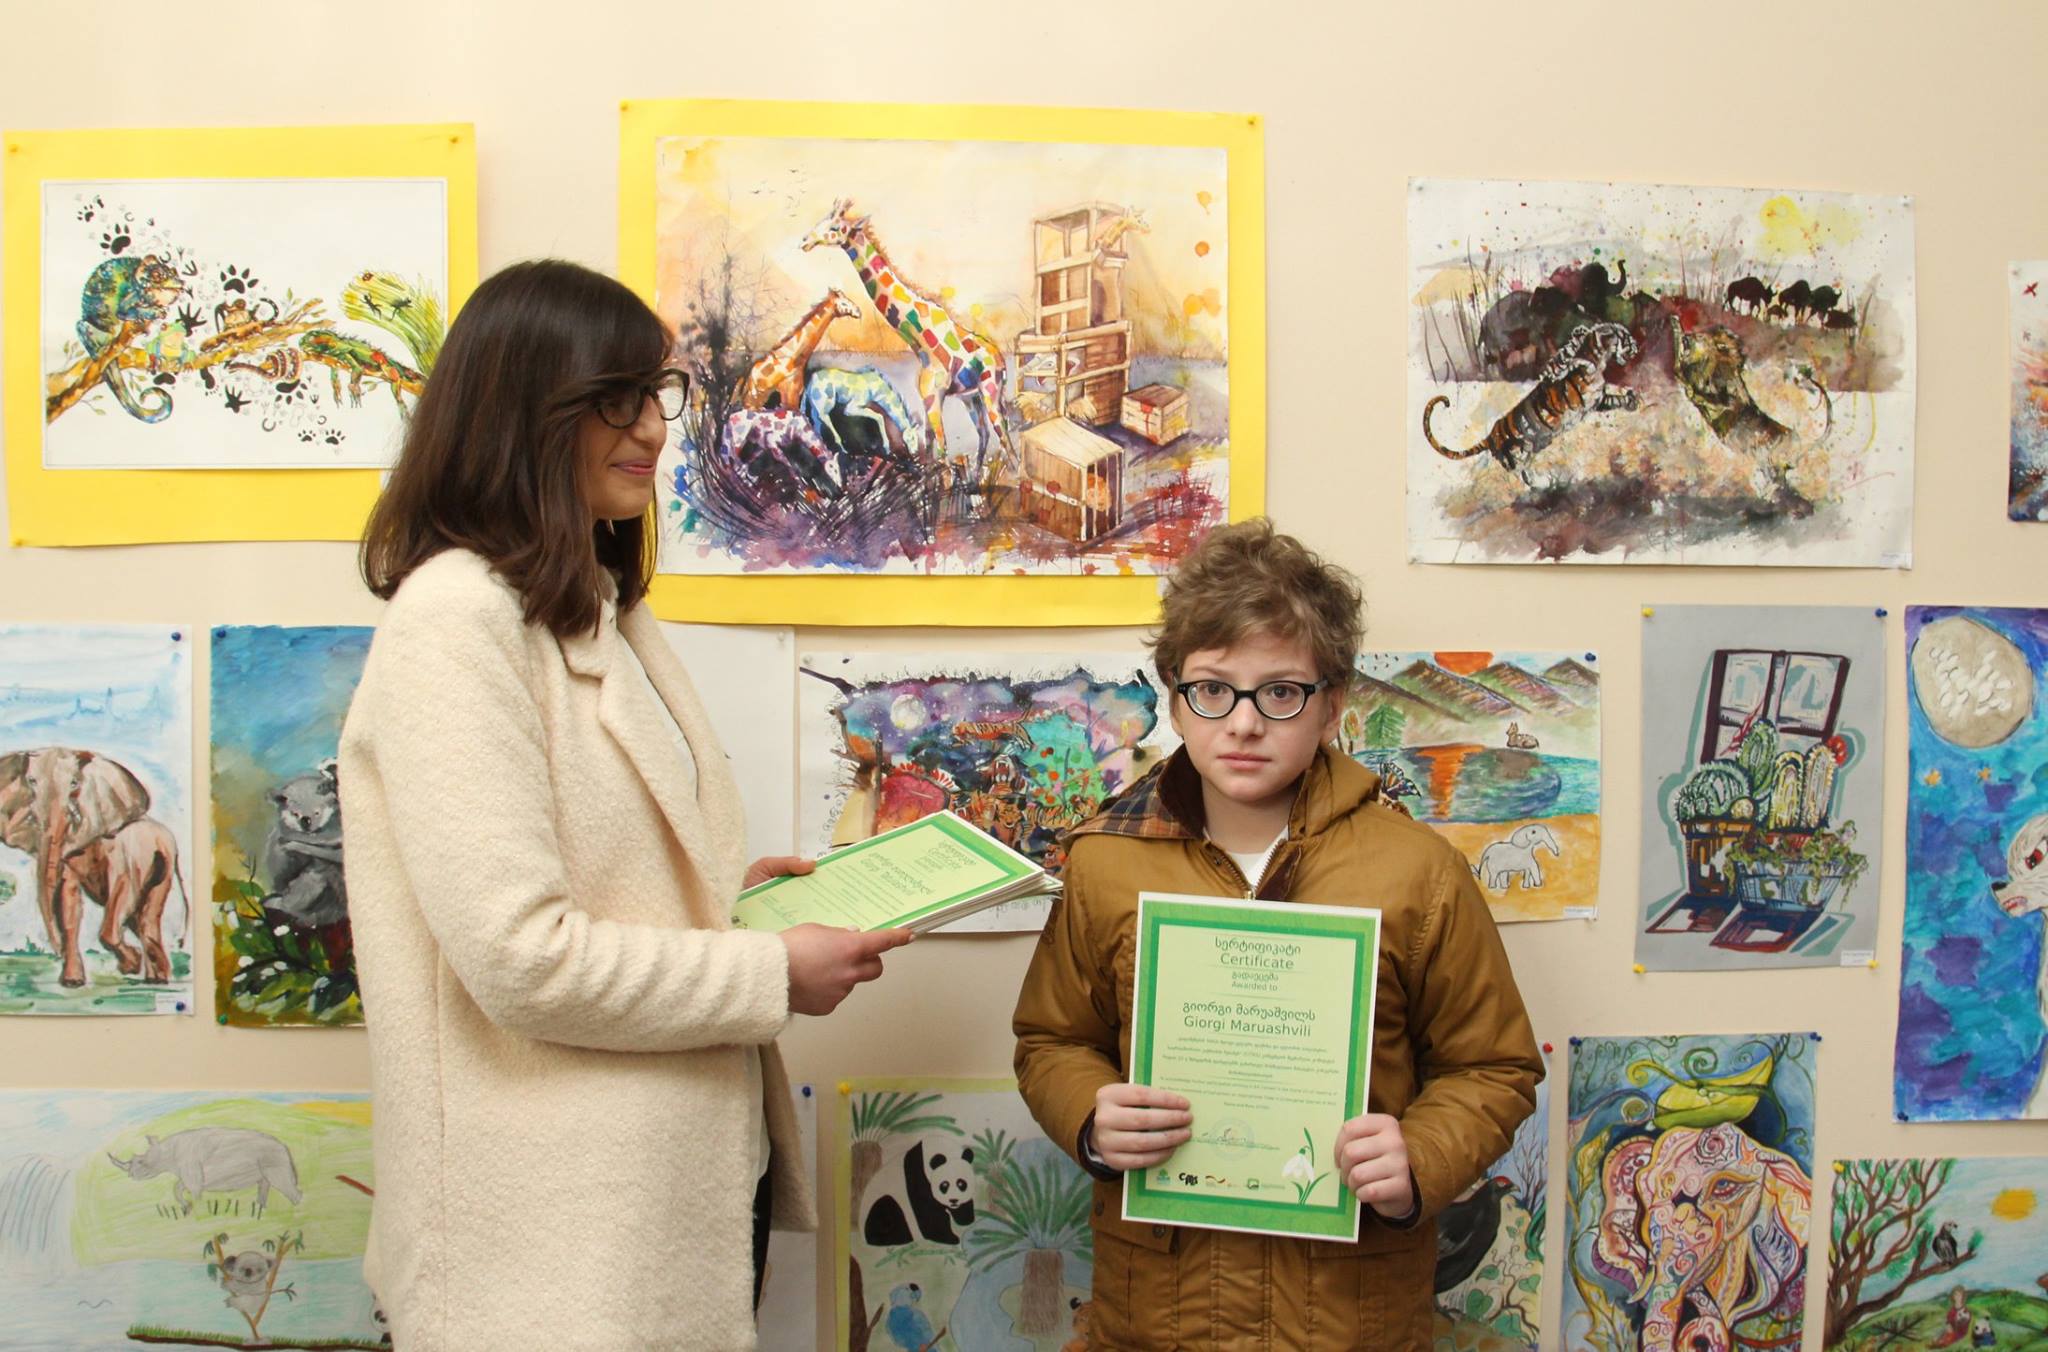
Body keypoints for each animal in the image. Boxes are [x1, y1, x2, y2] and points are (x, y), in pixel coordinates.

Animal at [0, 747, 156, 986]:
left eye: (74, 783)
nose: (56, 951)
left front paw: (131, 964)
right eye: (31, 781)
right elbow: (68, 900)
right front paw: (73, 982)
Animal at [799, 198, 1015, 491]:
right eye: (821, 221)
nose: (805, 241)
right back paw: (973, 483)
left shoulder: (934, 397)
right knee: (984, 433)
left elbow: (942, 450)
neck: (920, 337)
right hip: (971, 397)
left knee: (1004, 436)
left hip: (991, 391)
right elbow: (929, 447)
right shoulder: (927, 397)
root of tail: (1001, 359)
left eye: (834, 228)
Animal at [1423, 321, 1641, 481]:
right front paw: (1570, 359)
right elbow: (1570, 362)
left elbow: (1616, 399)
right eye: (1627, 338)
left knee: (1523, 472)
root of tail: (1490, 436)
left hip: (1532, 447)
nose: (1637, 348)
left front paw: (1633, 401)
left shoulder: (1598, 399)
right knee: (1516, 472)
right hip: (1516, 452)